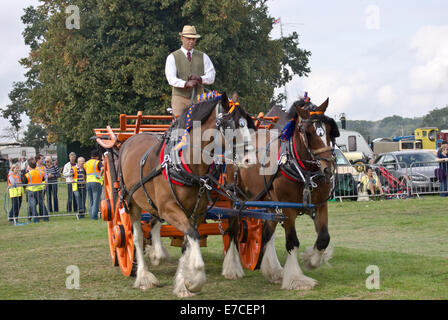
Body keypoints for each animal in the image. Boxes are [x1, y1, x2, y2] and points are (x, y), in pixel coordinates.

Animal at [118, 92, 256, 298]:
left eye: (248, 124)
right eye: (231, 125)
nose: (250, 159)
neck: (187, 166)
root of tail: (131, 139)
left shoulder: (196, 212)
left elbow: (187, 243)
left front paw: (184, 283)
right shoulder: (170, 209)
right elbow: (193, 238)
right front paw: (195, 281)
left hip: (152, 201)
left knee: (153, 221)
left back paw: (157, 254)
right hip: (132, 201)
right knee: (136, 236)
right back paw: (143, 276)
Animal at [224, 96, 340, 288]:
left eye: (330, 130)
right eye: (308, 132)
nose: (327, 169)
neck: (303, 170)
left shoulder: (320, 205)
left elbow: (324, 238)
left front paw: (310, 260)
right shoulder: (288, 208)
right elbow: (292, 241)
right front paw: (296, 278)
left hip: (267, 200)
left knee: (266, 233)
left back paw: (273, 270)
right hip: (236, 197)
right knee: (233, 230)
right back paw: (232, 268)